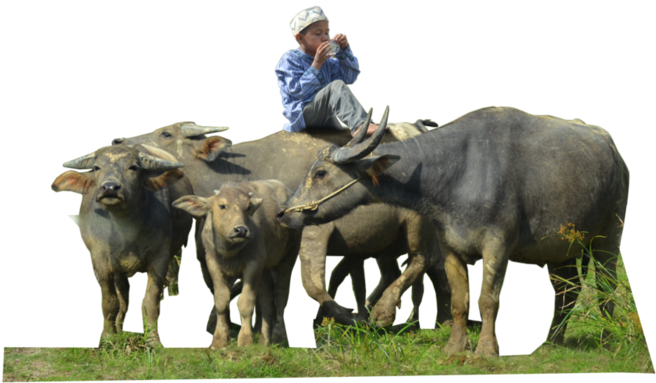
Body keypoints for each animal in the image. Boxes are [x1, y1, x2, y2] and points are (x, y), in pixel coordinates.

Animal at [51, 146, 195, 346]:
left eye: (133, 167)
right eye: (96, 167)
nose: (110, 188)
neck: (126, 232)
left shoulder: (160, 259)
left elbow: (150, 302)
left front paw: (153, 340)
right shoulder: (101, 263)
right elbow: (110, 302)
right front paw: (107, 338)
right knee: (123, 297)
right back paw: (118, 330)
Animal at [111, 121, 452, 336]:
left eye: (166, 133)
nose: (117, 141)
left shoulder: (311, 233)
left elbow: (310, 283)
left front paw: (342, 318)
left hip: (417, 231)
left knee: (428, 266)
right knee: (422, 272)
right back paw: (434, 319)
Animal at [280, 105, 632, 356]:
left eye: (320, 172)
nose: (284, 212)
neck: (456, 172)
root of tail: (613, 150)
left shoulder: (497, 244)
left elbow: (487, 299)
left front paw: (486, 350)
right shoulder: (450, 245)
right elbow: (461, 299)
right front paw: (455, 347)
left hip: (609, 233)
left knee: (606, 284)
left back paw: (607, 338)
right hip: (561, 248)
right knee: (567, 291)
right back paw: (552, 341)